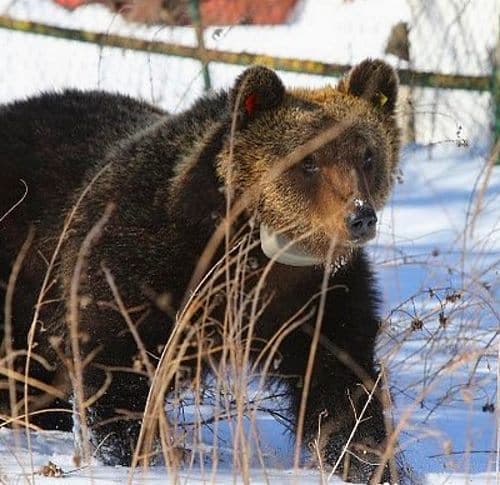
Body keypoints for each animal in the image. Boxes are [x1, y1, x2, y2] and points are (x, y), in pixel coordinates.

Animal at [0, 59, 398, 480]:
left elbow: (341, 381)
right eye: (308, 161)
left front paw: (365, 460)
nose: (359, 217)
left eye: (367, 155)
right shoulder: (141, 261)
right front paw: (129, 450)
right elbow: (118, 363)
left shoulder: (317, 293)